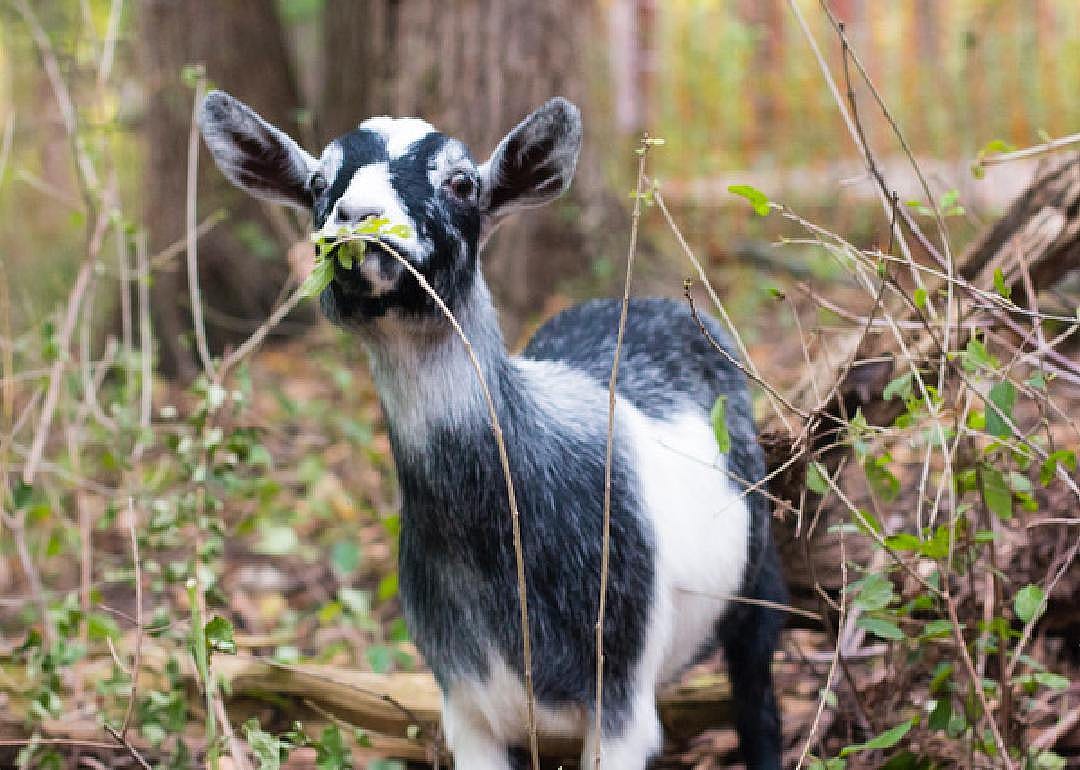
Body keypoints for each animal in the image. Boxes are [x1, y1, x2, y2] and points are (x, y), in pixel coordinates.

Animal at [198, 90, 786, 770]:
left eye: (461, 183)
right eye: (320, 183)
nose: (360, 219)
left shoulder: (619, 704)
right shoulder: (466, 703)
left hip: (757, 574)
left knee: (757, 687)